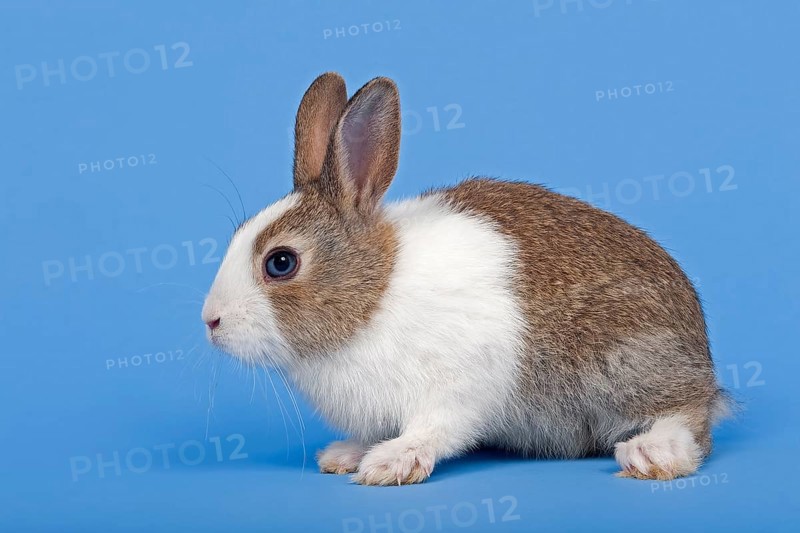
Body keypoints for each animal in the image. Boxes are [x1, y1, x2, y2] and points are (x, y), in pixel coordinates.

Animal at [202, 72, 729, 486]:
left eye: (281, 263)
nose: (210, 322)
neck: (374, 295)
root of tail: (702, 357)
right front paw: (346, 454)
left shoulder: (455, 388)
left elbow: (436, 428)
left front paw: (391, 463)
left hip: (623, 360)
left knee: (690, 415)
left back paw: (652, 453)